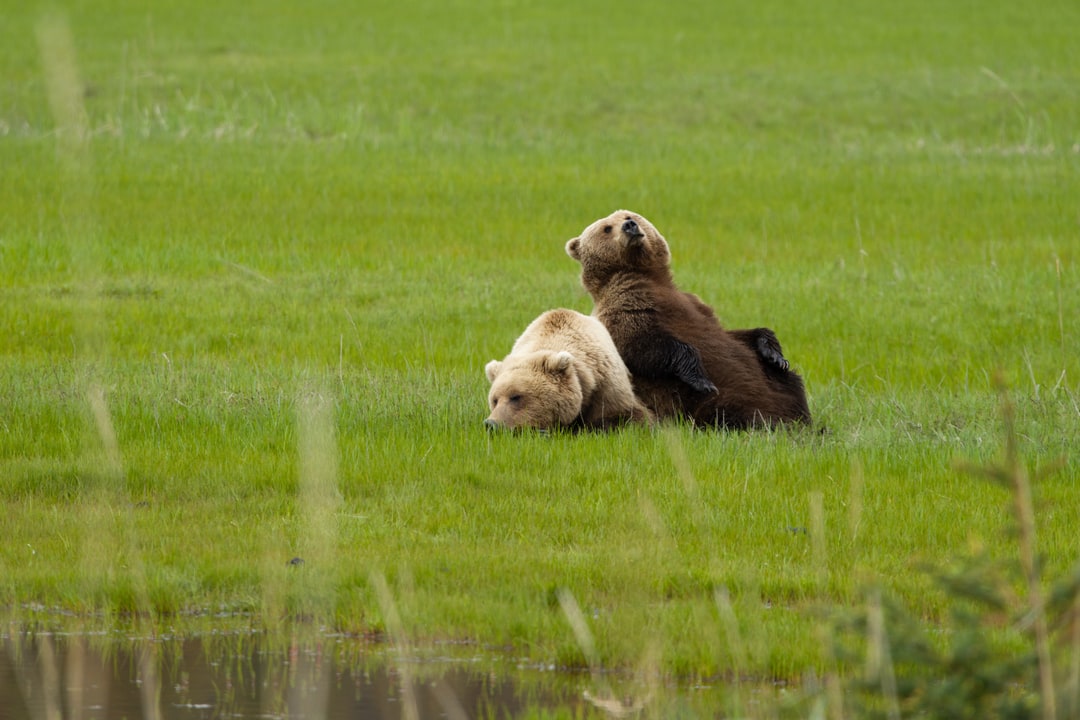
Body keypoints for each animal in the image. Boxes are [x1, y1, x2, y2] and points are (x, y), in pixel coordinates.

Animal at [565, 209, 810, 429]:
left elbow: (735, 334)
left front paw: (774, 353)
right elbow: (641, 344)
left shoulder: (696, 306)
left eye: (628, 216)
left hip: (772, 381)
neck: (648, 276)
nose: (630, 226)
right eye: (607, 228)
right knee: (728, 407)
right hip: (692, 400)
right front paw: (701, 379)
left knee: (791, 382)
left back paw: (799, 416)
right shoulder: (625, 308)